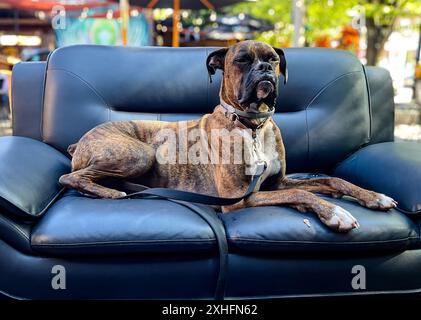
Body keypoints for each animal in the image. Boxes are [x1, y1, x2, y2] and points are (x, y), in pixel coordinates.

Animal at [60, 40, 398, 232]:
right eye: (242, 60)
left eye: (273, 59)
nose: (265, 70)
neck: (252, 126)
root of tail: (80, 141)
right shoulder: (241, 199)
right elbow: (305, 194)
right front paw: (334, 212)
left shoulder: (277, 183)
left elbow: (330, 180)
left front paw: (373, 196)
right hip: (139, 154)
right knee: (69, 177)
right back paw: (111, 193)